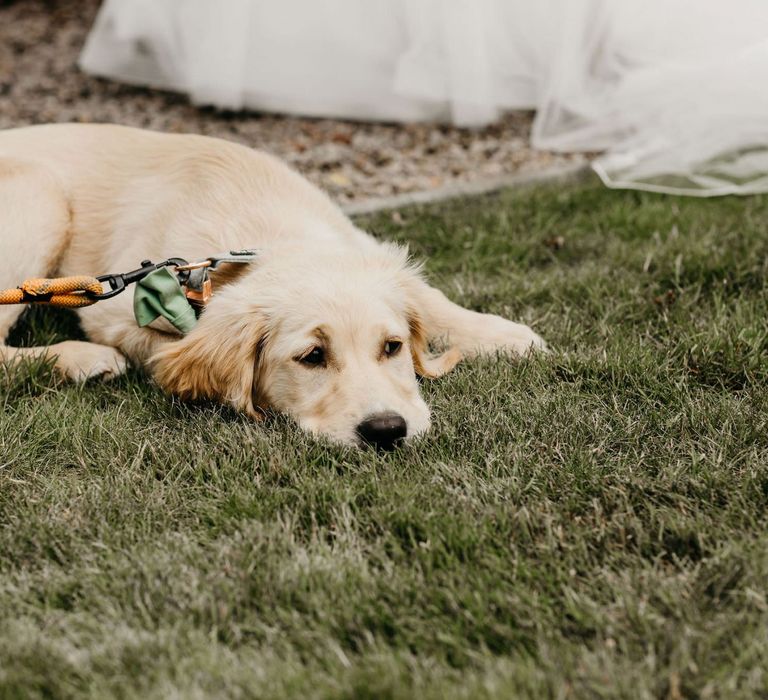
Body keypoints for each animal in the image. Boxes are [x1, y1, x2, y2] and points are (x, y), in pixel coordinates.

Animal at [0, 123, 544, 446]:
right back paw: (81, 360)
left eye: (392, 347)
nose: (387, 431)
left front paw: (507, 337)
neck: (269, 231)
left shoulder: (358, 242)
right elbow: (162, 352)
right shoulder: (114, 312)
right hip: (42, 194)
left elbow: (430, 299)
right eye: (312, 357)